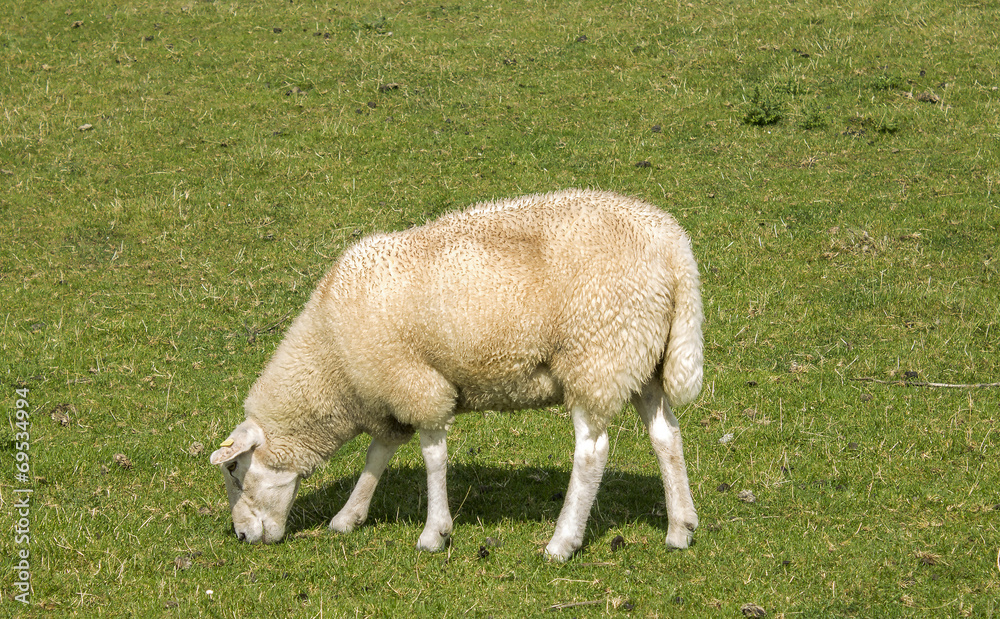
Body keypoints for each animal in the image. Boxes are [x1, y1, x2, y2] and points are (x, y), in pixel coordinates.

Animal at [210, 188, 703, 561]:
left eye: (234, 470)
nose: (241, 536)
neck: (331, 364)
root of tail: (674, 247)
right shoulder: (387, 394)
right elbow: (378, 455)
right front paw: (349, 516)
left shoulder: (415, 383)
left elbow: (432, 457)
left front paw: (435, 533)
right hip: (642, 358)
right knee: (666, 435)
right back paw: (680, 528)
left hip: (597, 354)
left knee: (591, 452)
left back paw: (562, 542)